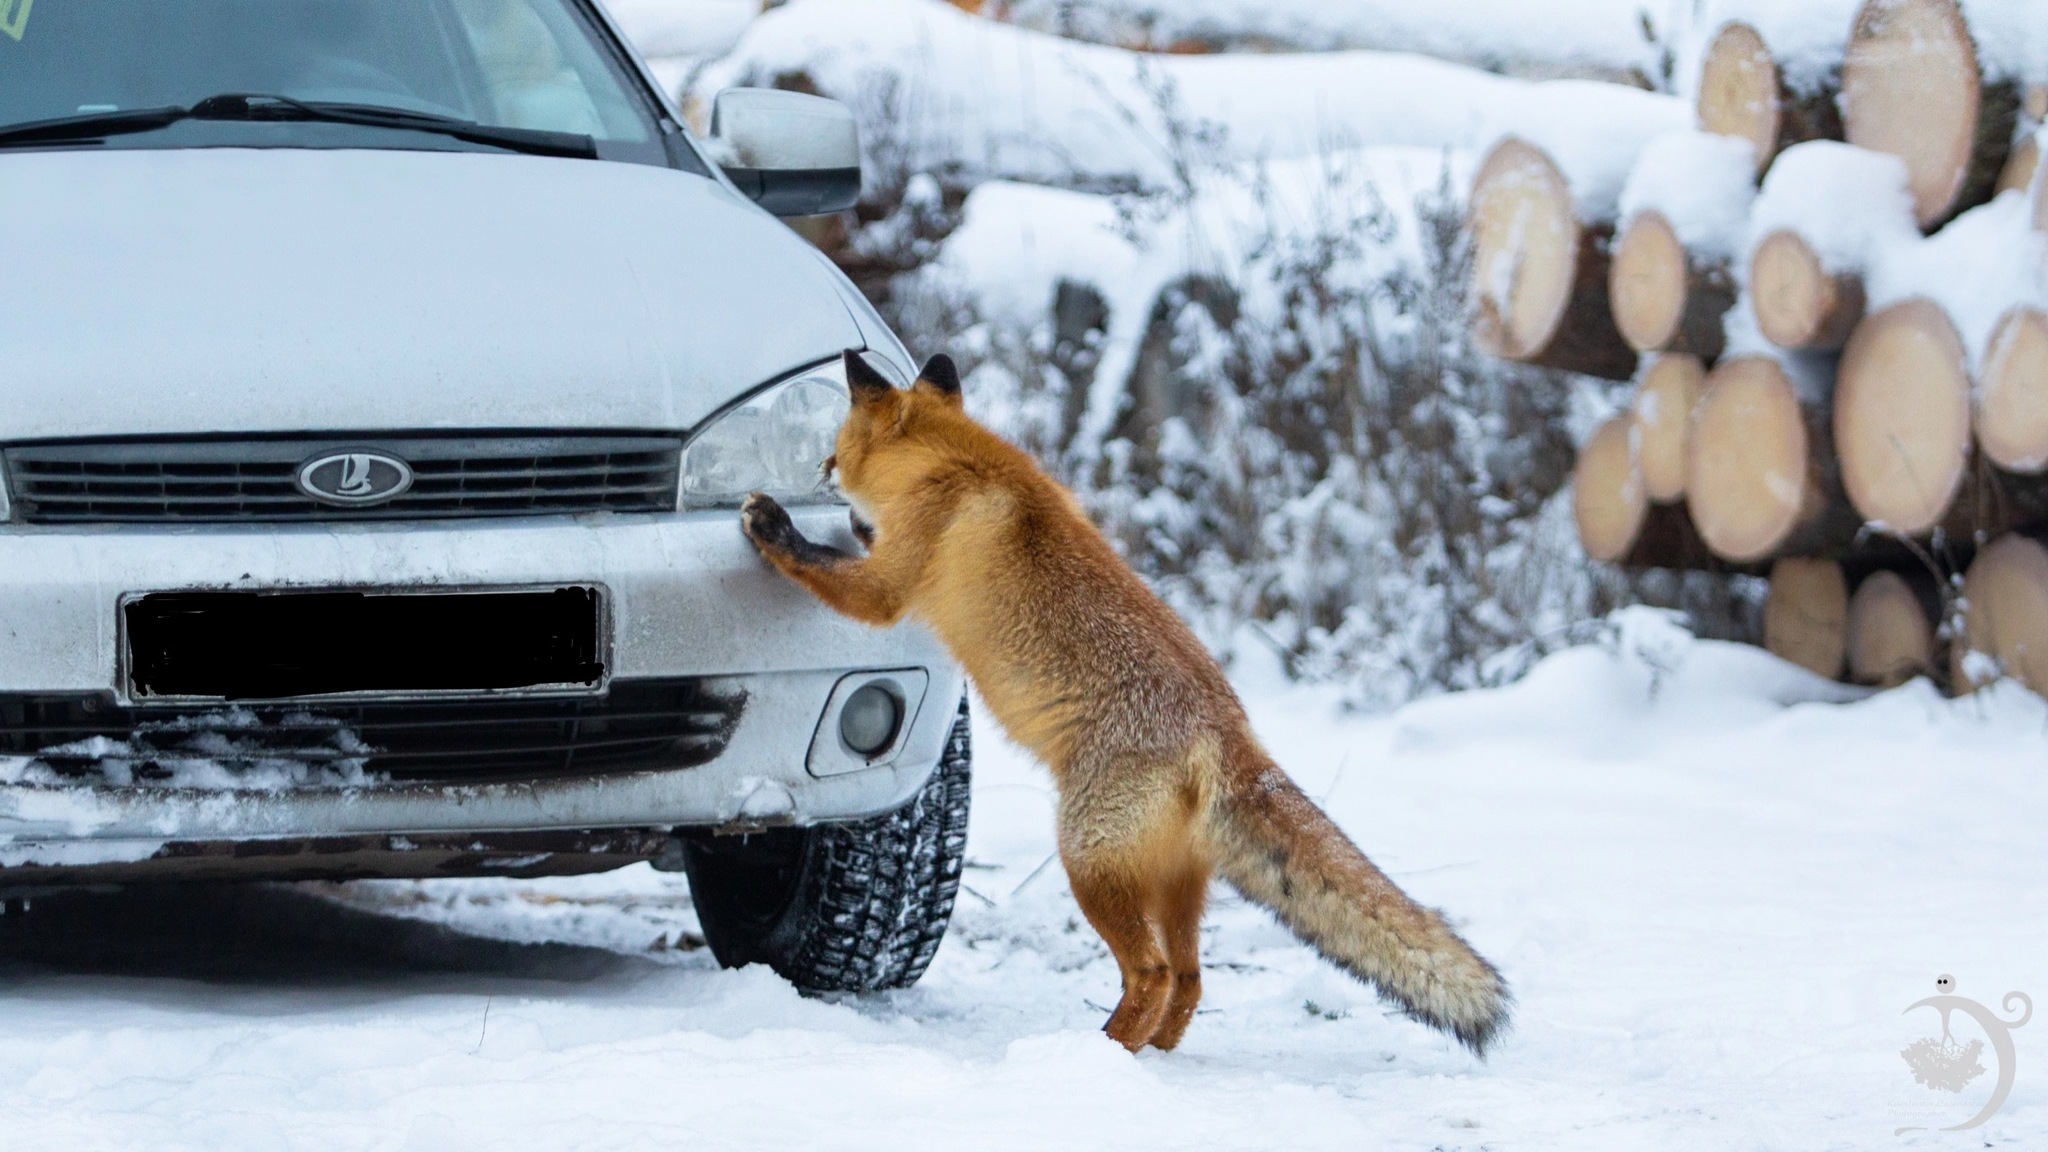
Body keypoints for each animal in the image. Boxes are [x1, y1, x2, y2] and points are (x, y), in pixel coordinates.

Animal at [745, 348, 1515, 1049]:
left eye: (836, 442)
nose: (822, 468)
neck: (962, 464)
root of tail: (1229, 732)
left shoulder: (890, 585)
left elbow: (830, 570)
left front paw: (776, 527)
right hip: (1174, 883)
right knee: (1192, 978)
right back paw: (1155, 1056)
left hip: (1086, 859)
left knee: (1151, 973)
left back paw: (1102, 1052)